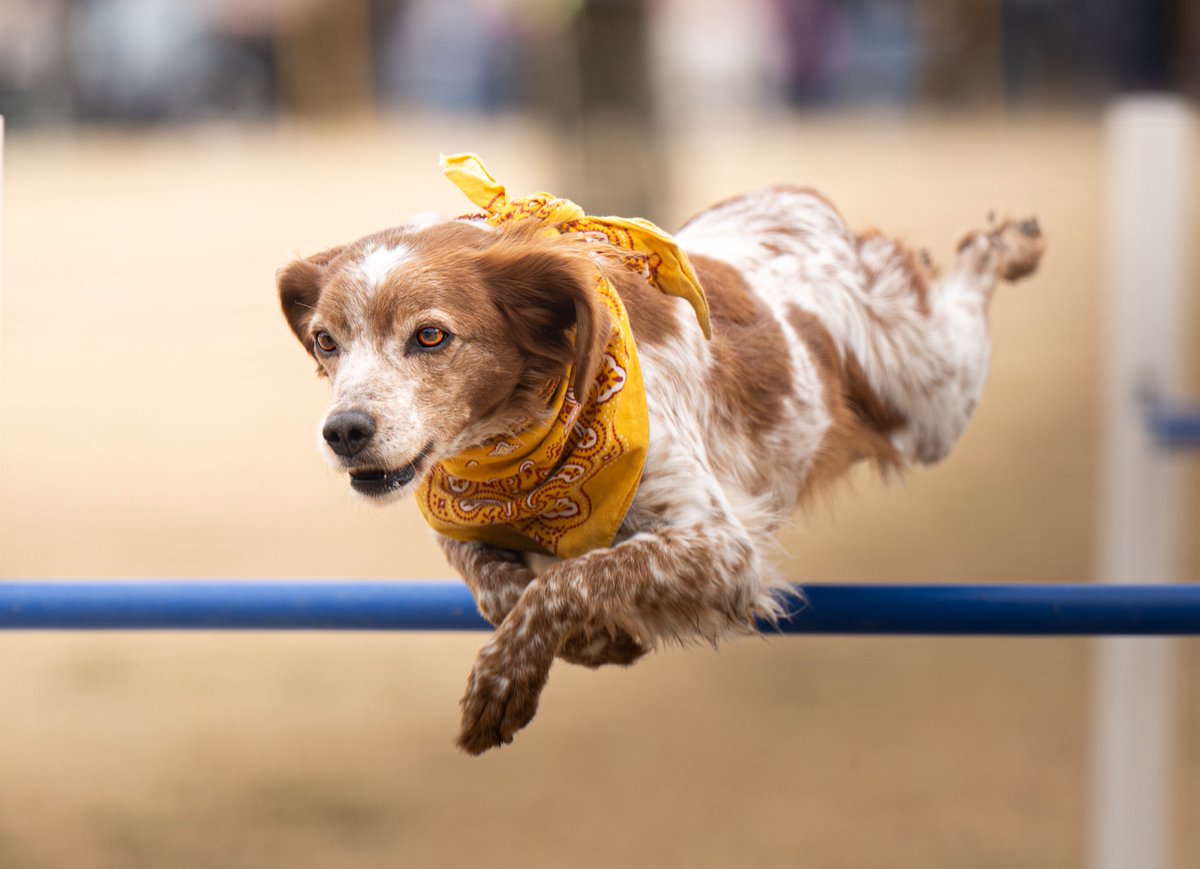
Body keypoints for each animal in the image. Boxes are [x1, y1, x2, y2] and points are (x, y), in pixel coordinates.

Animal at [278, 154, 1041, 753]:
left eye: (431, 335)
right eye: (325, 341)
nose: (344, 431)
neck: (520, 452)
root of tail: (798, 196)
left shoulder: (722, 551)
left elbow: (572, 578)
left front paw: (504, 680)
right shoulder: (457, 514)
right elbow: (497, 582)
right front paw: (590, 642)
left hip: (928, 398)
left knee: (962, 299)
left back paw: (1005, 244)